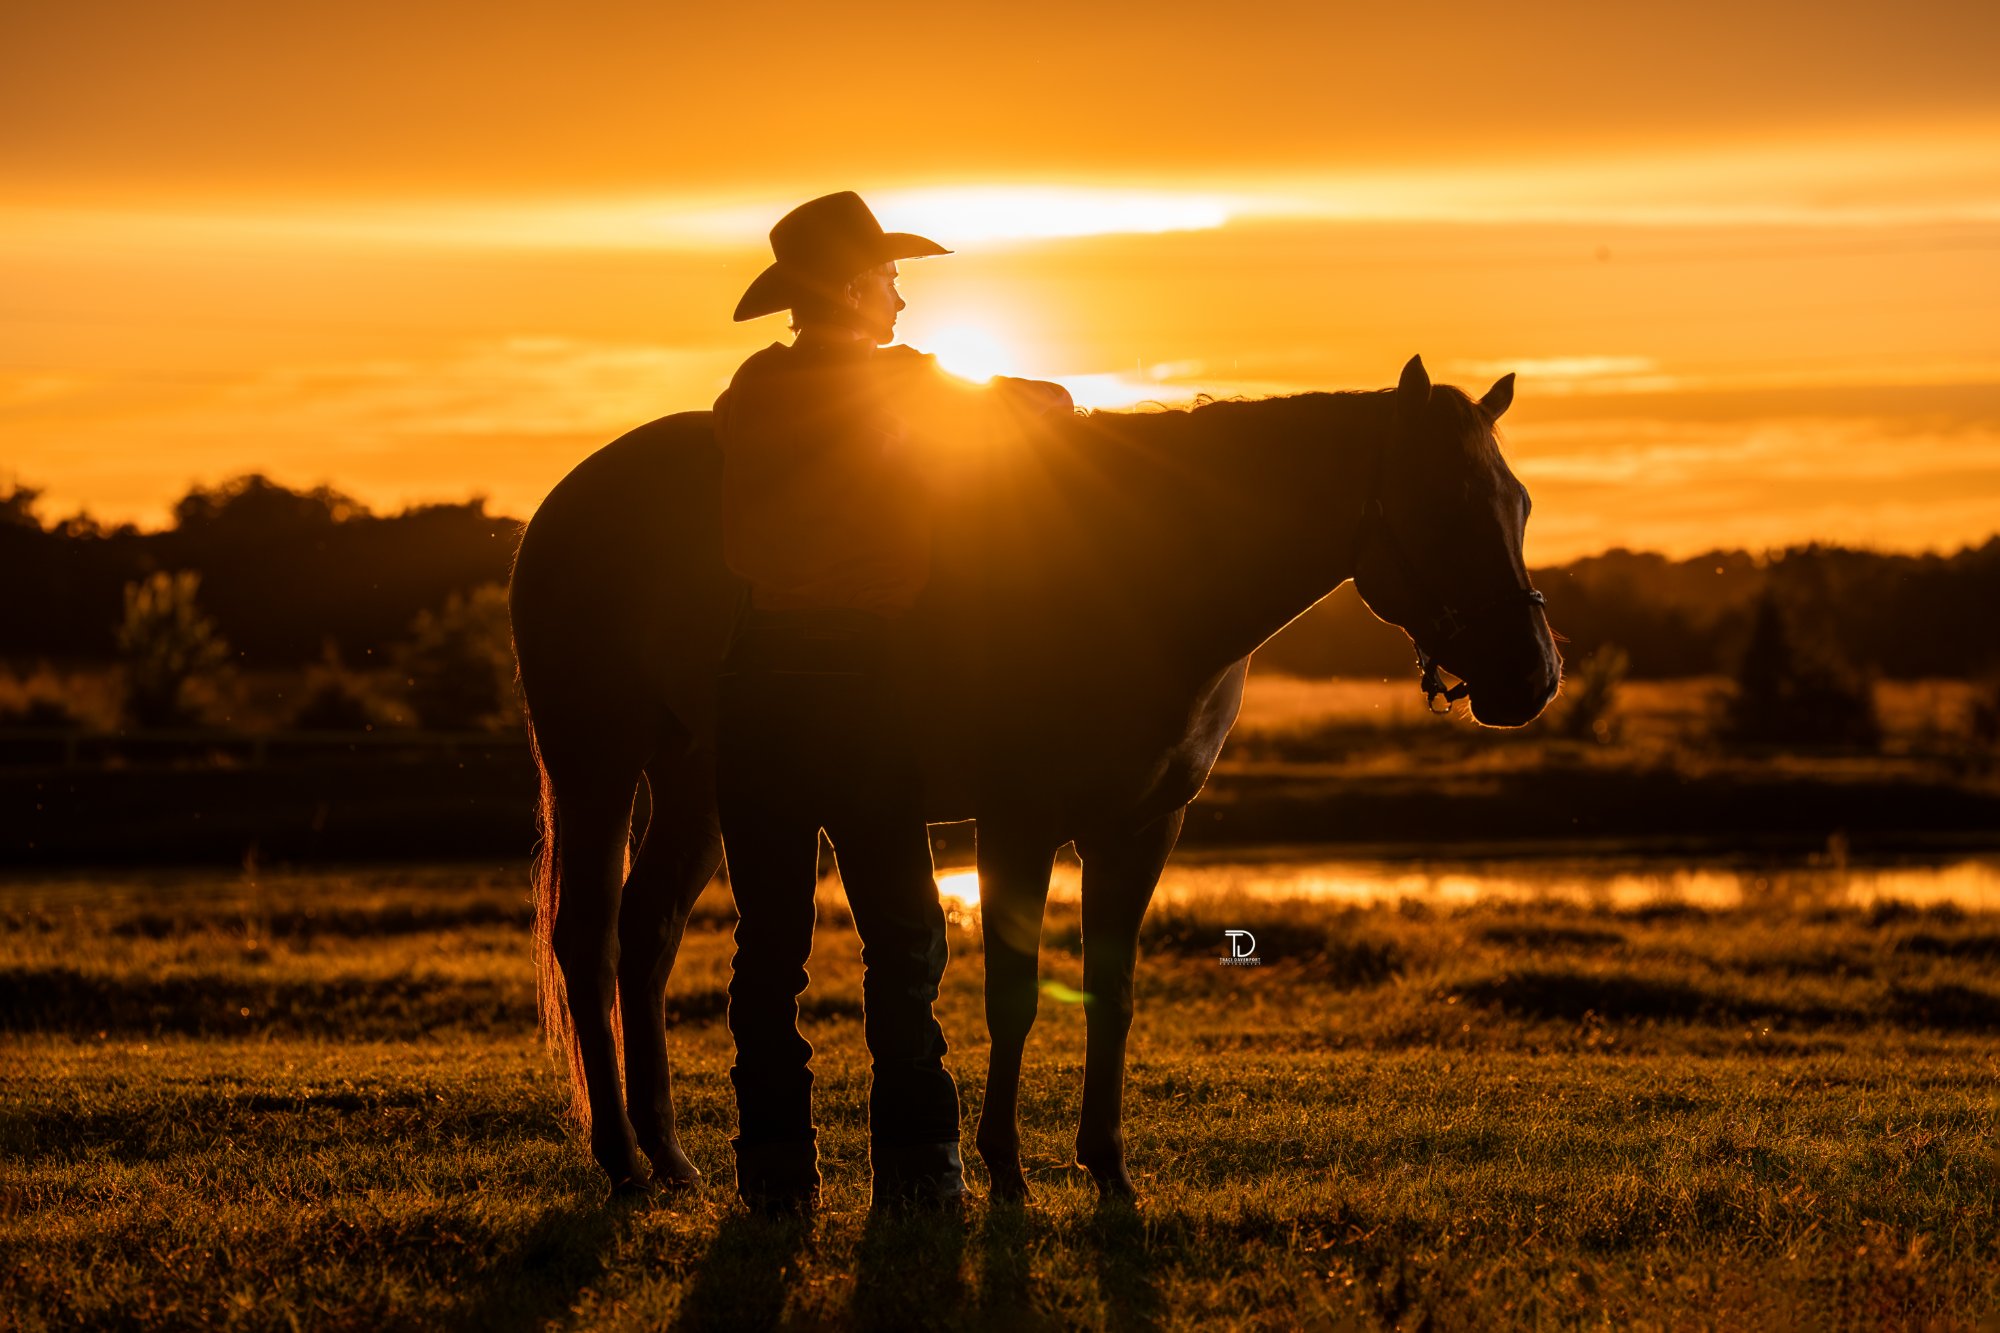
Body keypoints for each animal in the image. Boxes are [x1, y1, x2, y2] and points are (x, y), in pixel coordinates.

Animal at [506, 354, 1560, 1199]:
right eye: (1445, 505)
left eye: (1520, 504)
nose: (1532, 675)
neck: (1136, 568)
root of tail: (571, 496)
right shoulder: (1016, 820)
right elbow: (1011, 992)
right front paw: (1006, 1167)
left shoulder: (1139, 828)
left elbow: (1111, 989)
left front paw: (1106, 1162)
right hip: (598, 761)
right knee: (588, 940)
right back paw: (621, 1162)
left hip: (699, 781)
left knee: (646, 938)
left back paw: (672, 1158)